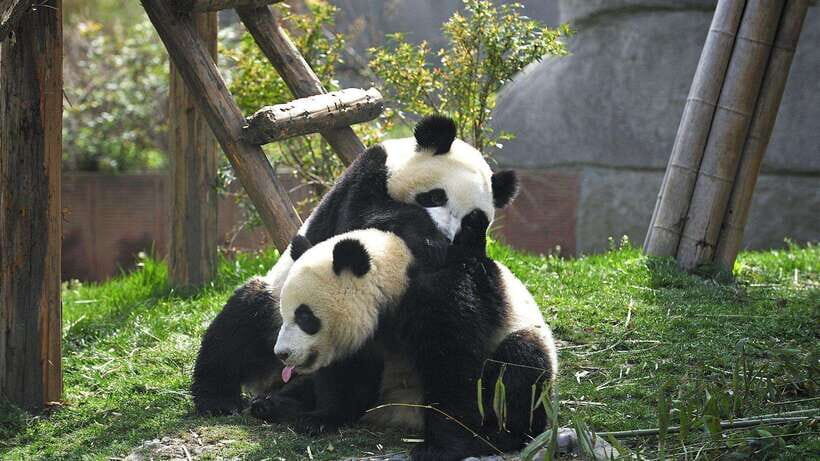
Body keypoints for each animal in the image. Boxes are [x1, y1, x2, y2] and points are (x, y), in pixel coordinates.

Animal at [191, 115, 520, 415]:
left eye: (471, 221)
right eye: (434, 197)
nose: (445, 234)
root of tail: (274, 376)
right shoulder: (367, 176)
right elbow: (361, 217)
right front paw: (428, 240)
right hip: (275, 305)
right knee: (238, 326)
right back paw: (218, 399)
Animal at [263, 211, 558, 460]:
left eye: (305, 317)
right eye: (284, 313)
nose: (282, 354)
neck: (396, 269)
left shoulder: (444, 294)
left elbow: (452, 368)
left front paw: (438, 448)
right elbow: (347, 374)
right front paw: (320, 418)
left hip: (520, 339)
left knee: (518, 367)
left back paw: (498, 436)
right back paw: (273, 404)